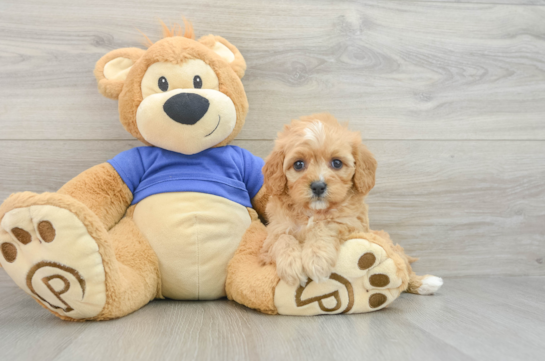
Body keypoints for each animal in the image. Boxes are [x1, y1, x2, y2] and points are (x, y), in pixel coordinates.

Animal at [262, 112, 376, 284]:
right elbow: (282, 238)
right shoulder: (273, 233)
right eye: (298, 164)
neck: (312, 212)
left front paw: (316, 259)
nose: (318, 186)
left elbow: (323, 226)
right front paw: (290, 265)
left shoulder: (352, 222)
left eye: (337, 163)